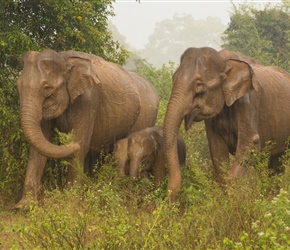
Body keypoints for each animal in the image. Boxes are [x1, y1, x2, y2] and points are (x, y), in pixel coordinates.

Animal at [15, 49, 159, 209]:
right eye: (17, 87)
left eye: (47, 89)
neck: (64, 58)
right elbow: (38, 148)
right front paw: (24, 207)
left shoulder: (89, 100)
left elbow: (81, 146)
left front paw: (70, 205)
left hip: (146, 116)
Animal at [164, 46, 290, 199]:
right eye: (173, 78)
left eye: (199, 84)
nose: (170, 194)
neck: (225, 62)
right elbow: (217, 148)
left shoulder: (248, 102)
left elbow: (250, 142)